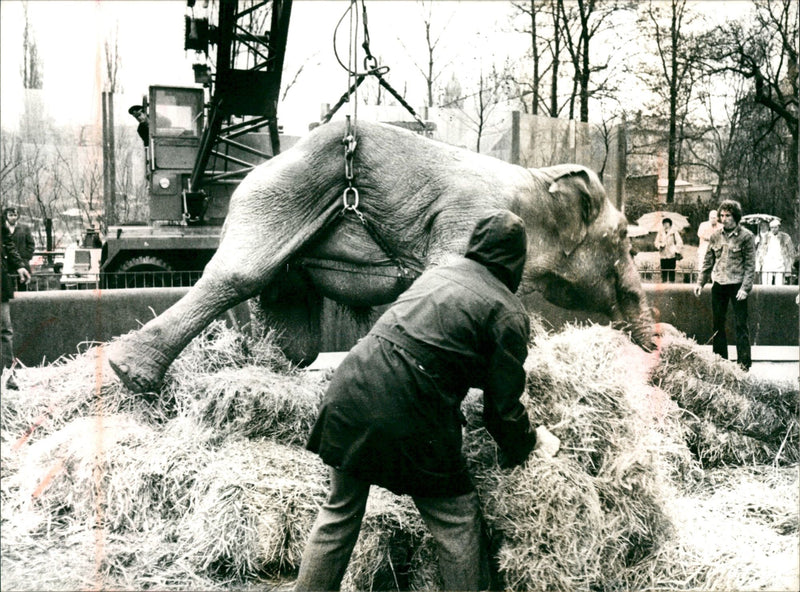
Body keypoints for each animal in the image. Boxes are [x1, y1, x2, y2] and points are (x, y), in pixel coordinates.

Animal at [108, 119, 656, 394]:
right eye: (625, 239)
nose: (655, 353)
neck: (538, 180)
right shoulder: (467, 221)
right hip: (277, 198)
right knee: (236, 277)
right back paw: (130, 375)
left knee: (296, 334)